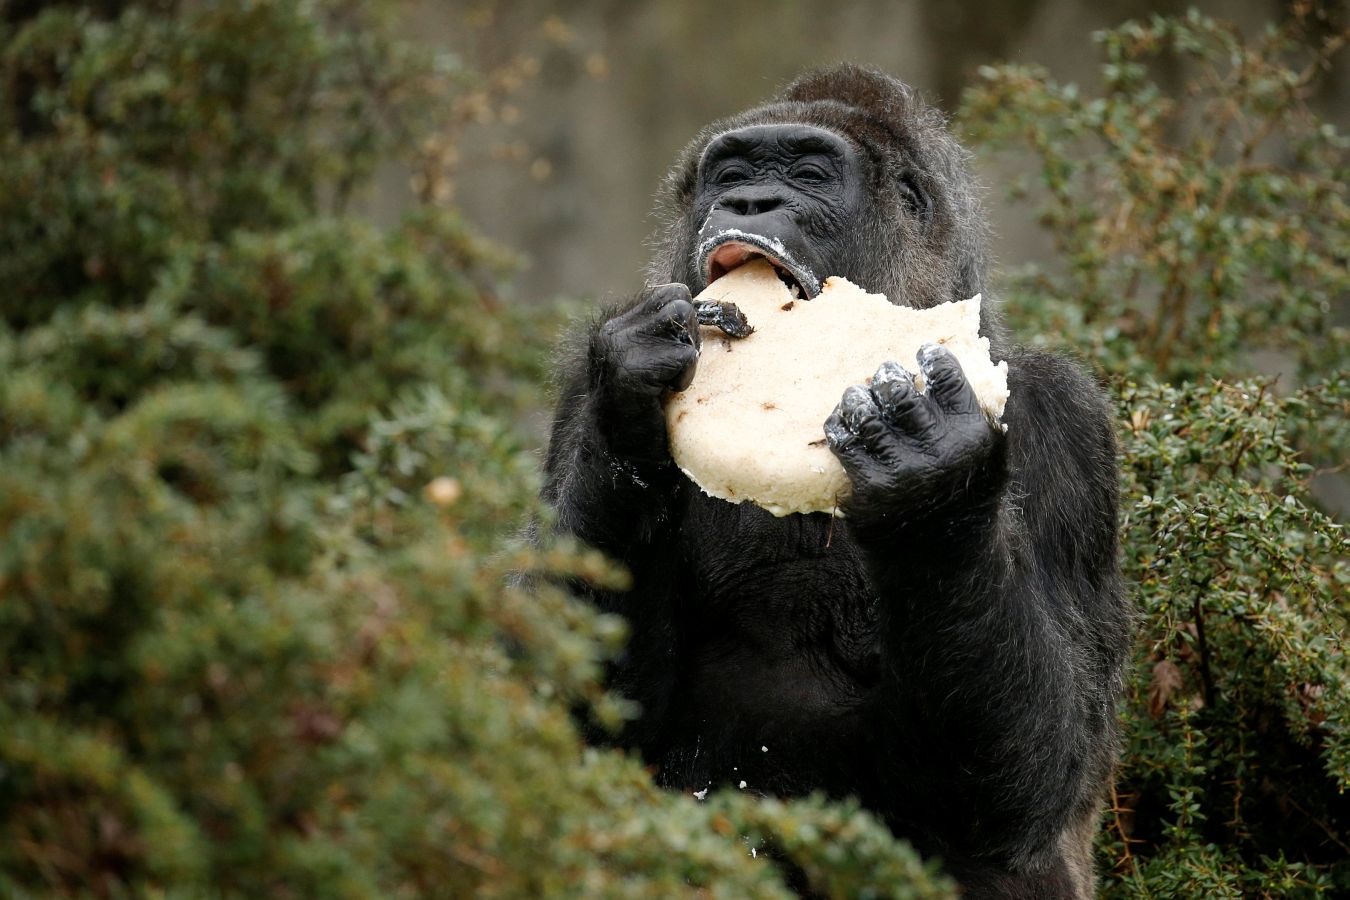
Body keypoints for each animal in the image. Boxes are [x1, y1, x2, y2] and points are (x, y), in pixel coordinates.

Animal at [537, 66, 1128, 895]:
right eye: (732, 175)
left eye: (807, 175)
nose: (751, 204)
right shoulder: (574, 396)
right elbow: (578, 720)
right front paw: (631, 394)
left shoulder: (1068, 427)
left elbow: (1029, 782)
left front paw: (932, 483)